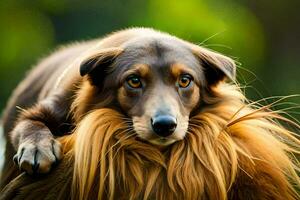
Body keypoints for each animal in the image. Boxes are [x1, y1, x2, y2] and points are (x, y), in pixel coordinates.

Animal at [0, 28, 300, 200]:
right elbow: (30, 123)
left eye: (185, 80)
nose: (165, 125)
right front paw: (37, 149)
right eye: (133, 81)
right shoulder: (49, 107)